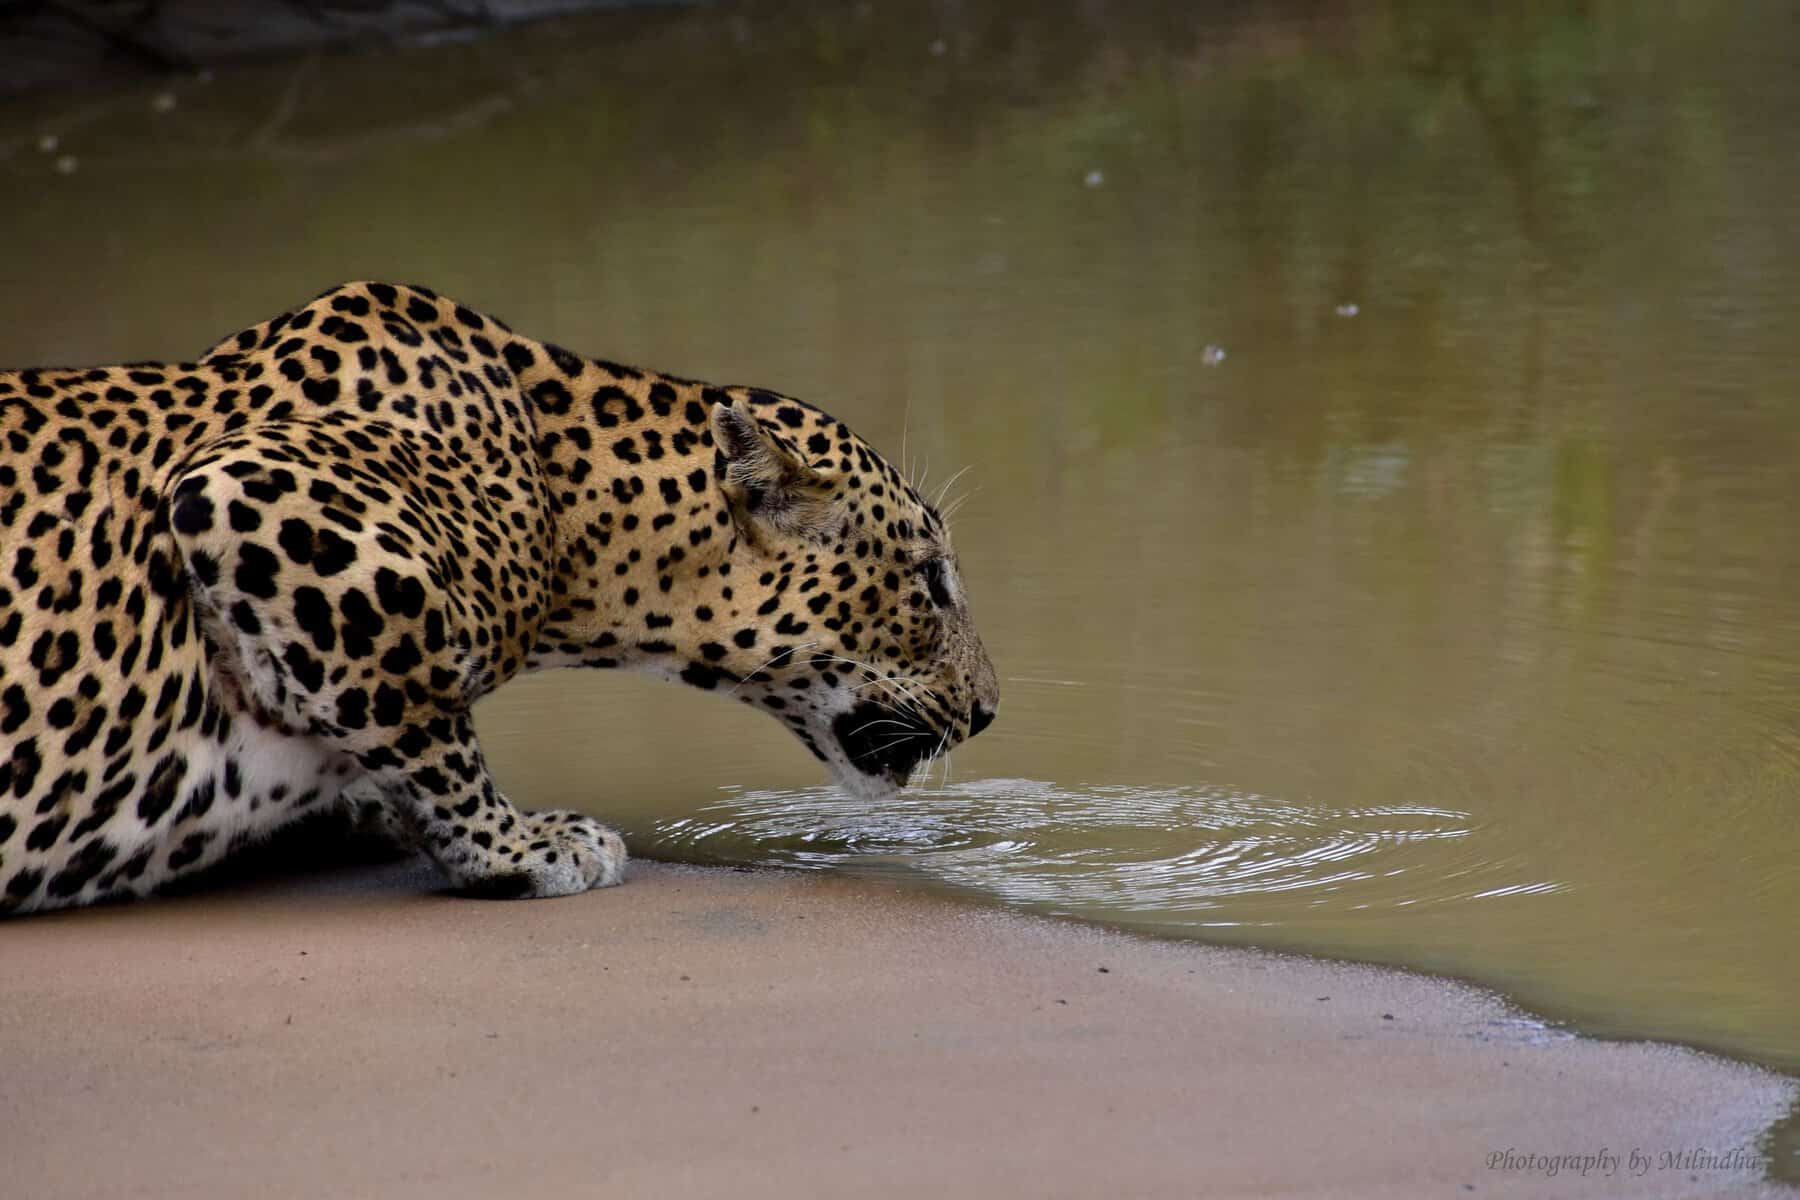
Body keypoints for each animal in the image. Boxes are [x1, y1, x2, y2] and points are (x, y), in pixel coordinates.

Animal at [0, 282, 997, 914]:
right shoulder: (253, 493)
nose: (989, 710)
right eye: (930, 580)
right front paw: (522, 846)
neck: (570, 511)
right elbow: (421, 715)